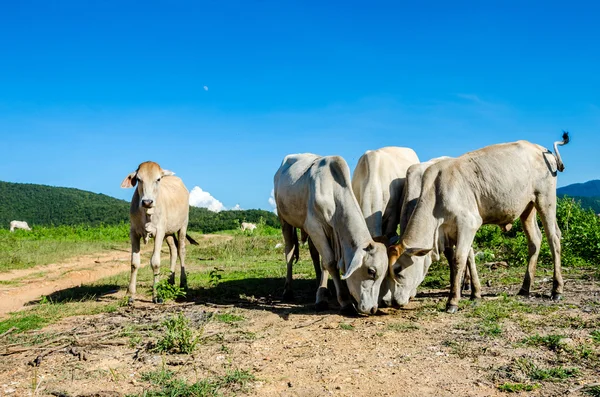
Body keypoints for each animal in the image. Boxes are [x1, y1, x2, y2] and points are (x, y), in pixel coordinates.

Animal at [120, 161, 198, 304]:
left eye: (158, 179)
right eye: (139, 179)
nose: (147, 201)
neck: (147, 213)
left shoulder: (159, 232)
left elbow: (155, 262)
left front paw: (156, 295)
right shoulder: (133, 233)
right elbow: (134, 263)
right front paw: (130, 295)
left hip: (183, 226)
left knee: (181, 251)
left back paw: (183, 284)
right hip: (169, 233)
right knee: (173, 251)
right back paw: (170, 282)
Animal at [274, 153, 386, 314]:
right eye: (371, 271)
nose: (373, 309)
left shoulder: (329, 233)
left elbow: (324, 263)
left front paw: (322, 294)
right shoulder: (315, 227)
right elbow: (330, 262)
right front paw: (345, 302)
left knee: (314, 254)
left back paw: (318, 286)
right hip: (284, 219)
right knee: (289, 252)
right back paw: (288, 291)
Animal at [386, 133, 568, 312]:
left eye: (398, 270)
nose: (394, 302)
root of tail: (542, 149)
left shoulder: (468, 223)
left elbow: (459, 259)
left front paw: (453, 301)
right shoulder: (454, 231)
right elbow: (468, 256)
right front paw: (475, 294)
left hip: (545, 199)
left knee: (554, 238)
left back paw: (556, 290)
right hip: (527, 207)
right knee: (535, 240)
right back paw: (525, 288)